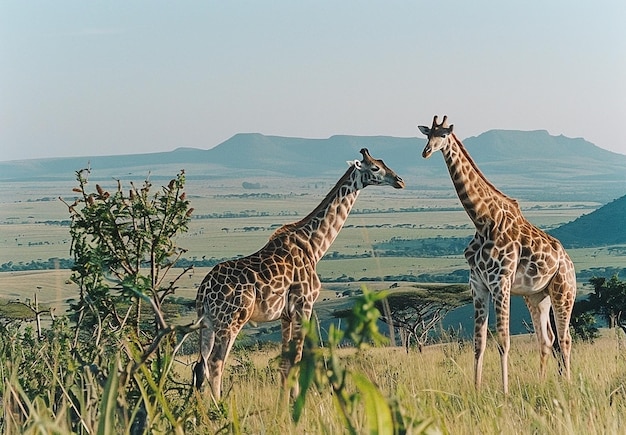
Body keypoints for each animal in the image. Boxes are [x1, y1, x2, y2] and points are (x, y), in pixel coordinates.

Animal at [193, 148, 402, 400]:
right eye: (375, 168)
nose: (399, 180)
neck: (314, 245)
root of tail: (203, 291)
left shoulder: (285, 315)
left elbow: (285, 362)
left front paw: (284, 402)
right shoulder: (305, 305)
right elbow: (298, 358)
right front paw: (295, 401)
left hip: (207, 323)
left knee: (200, 365)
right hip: (231, 319)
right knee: (215, 363)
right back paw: (219, 405)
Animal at [416, 116, 572, 396]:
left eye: (443, 135)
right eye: (427, 134)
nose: (426, 151)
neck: (482, 220)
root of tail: (568, 261)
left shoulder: (501, 282)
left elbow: (503, 341)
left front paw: (505, 391)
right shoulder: (478, 284)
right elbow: (479, 342)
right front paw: (476, 390)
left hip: (563, 291)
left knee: (565, 338)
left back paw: (568, 384)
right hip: (536, 296)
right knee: (547, 339)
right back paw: (543, 383)